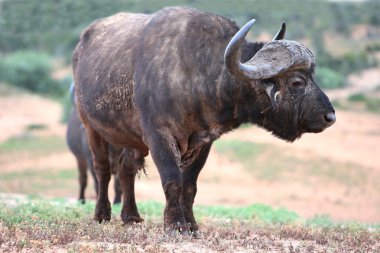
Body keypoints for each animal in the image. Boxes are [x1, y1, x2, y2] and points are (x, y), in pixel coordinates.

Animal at [73, 6, 336, 235]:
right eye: (297, 82)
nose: (330, 116)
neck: (195, 72)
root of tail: (80, 47)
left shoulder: (203, 141)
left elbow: (189, 185)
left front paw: (191, 225)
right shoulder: (159, 136)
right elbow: (172, 180)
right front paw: (175, 226)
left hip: (132, 138)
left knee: (126, 168)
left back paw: (131, 217)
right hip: (90, 127)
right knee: (102, 169)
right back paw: (102, 214)